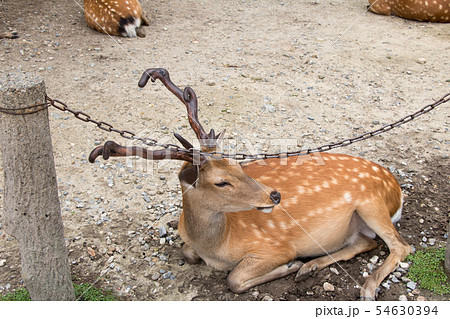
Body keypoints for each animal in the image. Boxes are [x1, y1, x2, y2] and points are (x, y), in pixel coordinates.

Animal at [89, 69, 414, 302]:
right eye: (221, 181)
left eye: (237, 164)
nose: (275, 194)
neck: (217, 245)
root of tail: (396, 187)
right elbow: (187, 253)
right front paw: (297, 267)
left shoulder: (275, 247)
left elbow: (234, 279)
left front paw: (290, 266)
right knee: (368, 242)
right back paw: (310, 267)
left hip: (372, 203)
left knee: (400, 245)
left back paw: (365, 287)